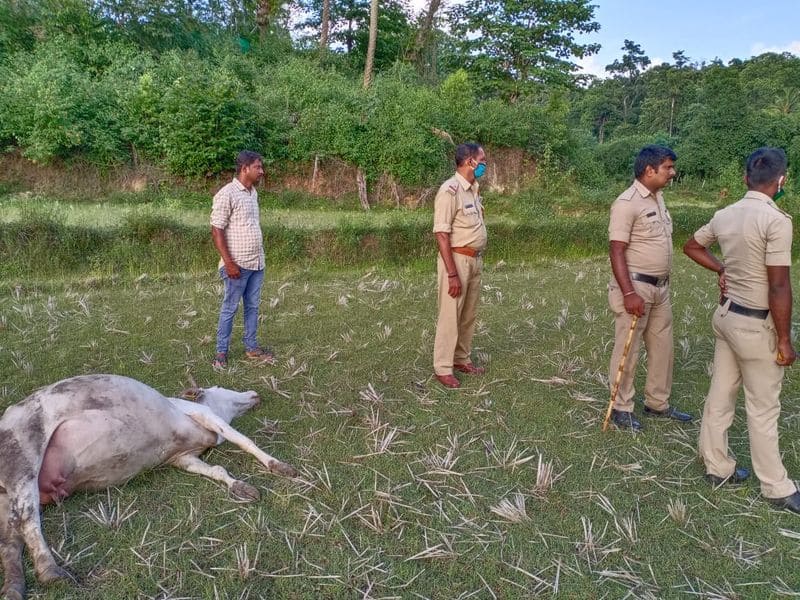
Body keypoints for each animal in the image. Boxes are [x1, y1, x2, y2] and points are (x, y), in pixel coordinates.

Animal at [0, 376, 296, 600]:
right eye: (220, 387)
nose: (254, 393)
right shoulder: (207, 416)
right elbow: (243, 440)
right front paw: (280, 466)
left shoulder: (184, 458)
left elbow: (217, 470)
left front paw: (241, 487)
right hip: (23, 457)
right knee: (26, 519)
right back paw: (50, 571)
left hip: (8, 494)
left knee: (10, 540)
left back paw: (14, 588)